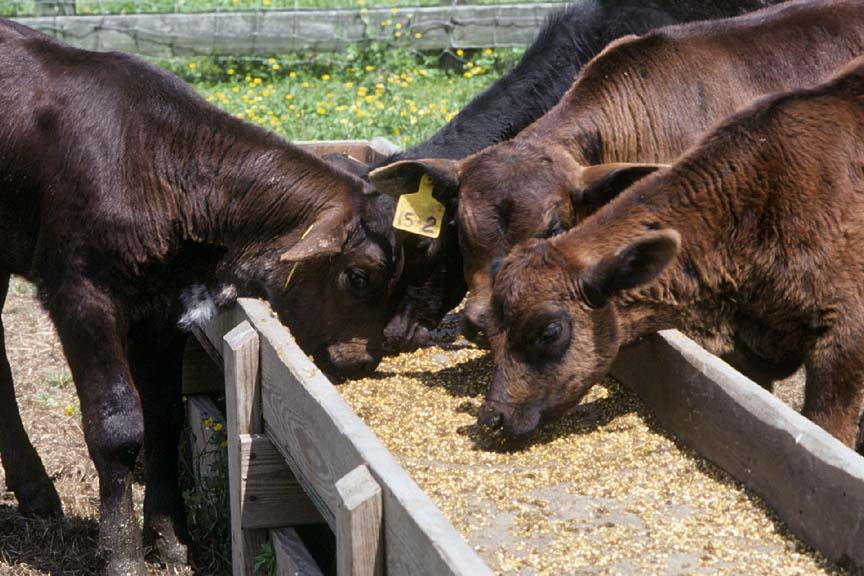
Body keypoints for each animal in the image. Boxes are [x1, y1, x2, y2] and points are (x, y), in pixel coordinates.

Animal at [0, 20, 401, 574]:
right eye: (359, 276)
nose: (365, 360)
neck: (151, 161)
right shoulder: (78, 291)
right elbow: (117, 426)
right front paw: (123, 554)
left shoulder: (163, 302)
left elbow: (163, 415)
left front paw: (170, 537)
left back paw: (35, 493)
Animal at [480, 55, 864, 451]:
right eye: (489, 325)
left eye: (549, 331)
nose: (494, 416)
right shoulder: (749, 351)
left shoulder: (843, 342)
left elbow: (828, 429)